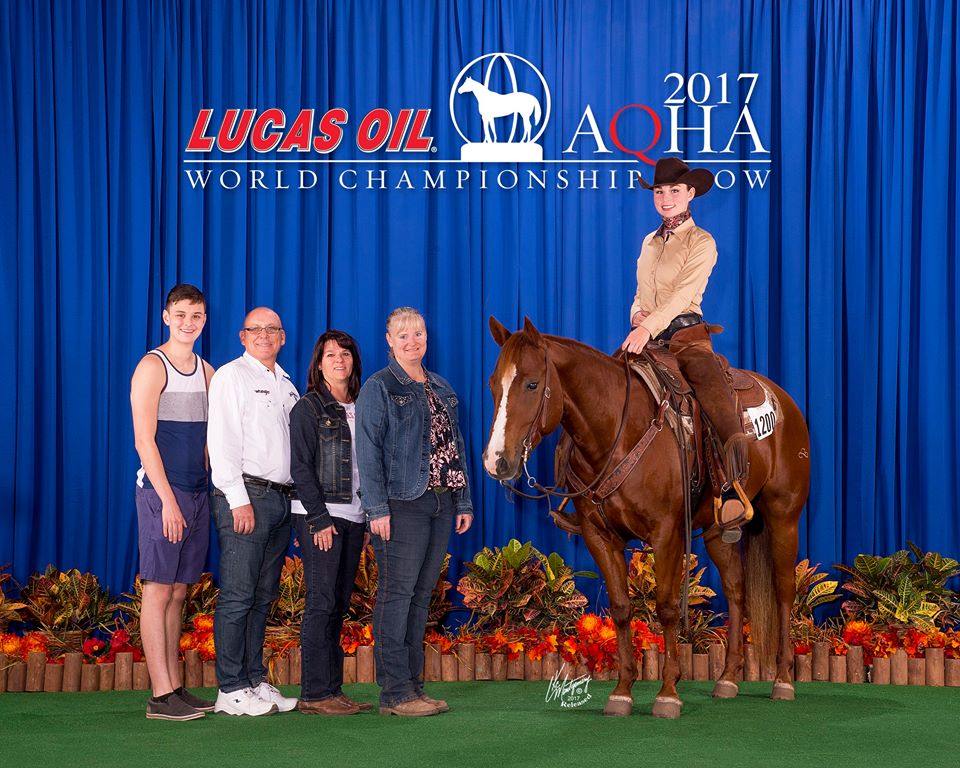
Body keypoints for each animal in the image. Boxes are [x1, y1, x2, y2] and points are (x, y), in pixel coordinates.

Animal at [482, 317, 810, 719]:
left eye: (531, 384)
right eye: (493, 385)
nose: (496, 461)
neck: (618, 432)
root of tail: (783, 399)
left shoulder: (666, 534)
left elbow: (667, 608)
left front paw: (668, 693)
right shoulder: (598, 536)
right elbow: (622, 609)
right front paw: (622, 691)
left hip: (784, 517)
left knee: (783, 591)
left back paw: (783, 680)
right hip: (718, 531)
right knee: (736, 590)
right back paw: (728, 679)